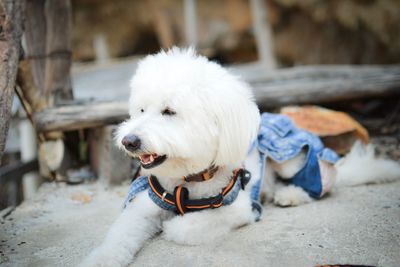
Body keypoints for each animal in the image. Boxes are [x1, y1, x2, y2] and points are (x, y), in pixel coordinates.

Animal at [81, 48, 400, 267]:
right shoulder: (143, 207)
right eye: (141, 110)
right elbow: (119, 234)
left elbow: (194, 224)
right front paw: (101, 258)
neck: (187, 179)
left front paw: (175, 226)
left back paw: (292, 194)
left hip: (292, 158)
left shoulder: (239, 208)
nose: (129, 141)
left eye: (169, 112)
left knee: (322, 180)